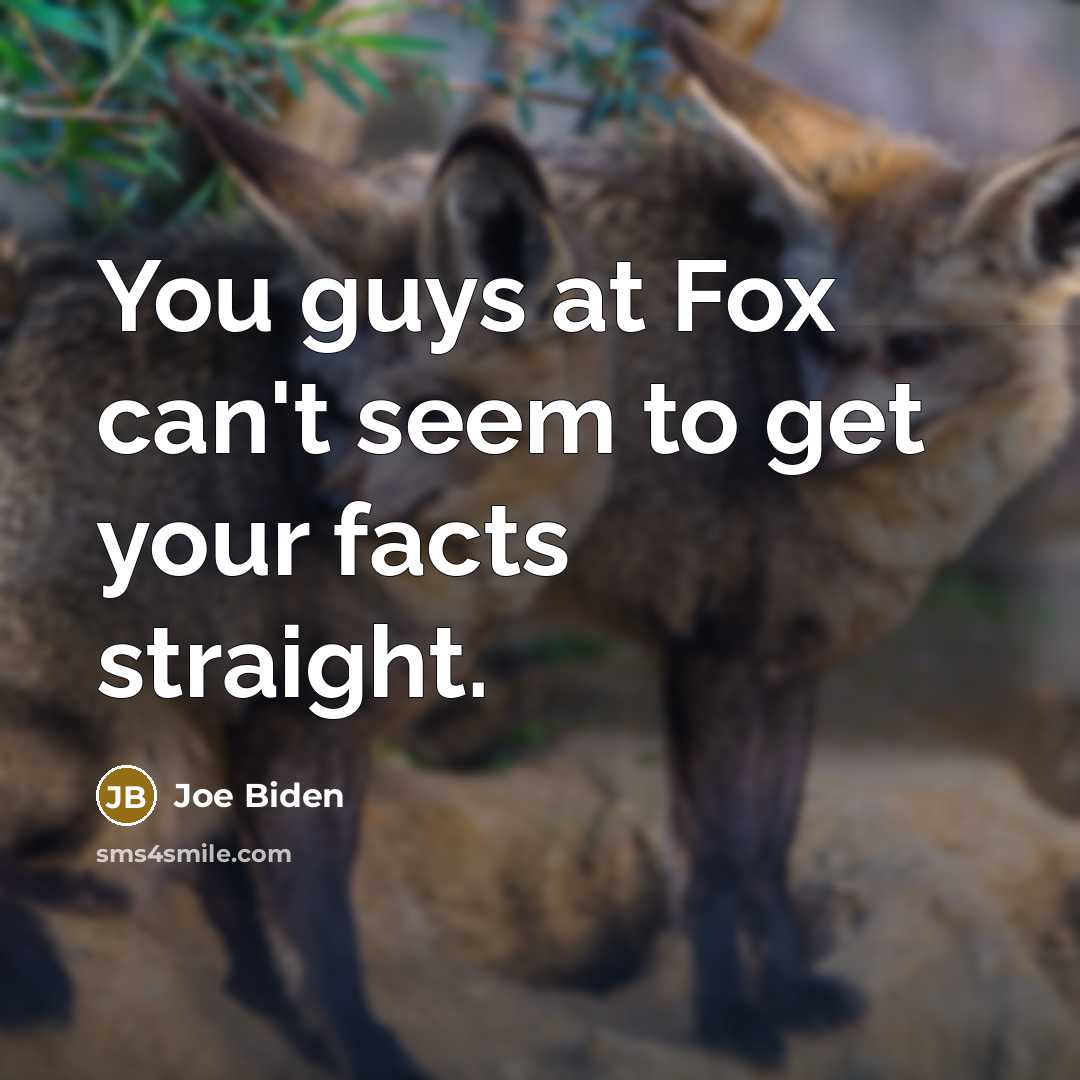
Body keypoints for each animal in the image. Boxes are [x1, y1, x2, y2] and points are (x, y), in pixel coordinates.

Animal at [0, 97, 610, 1079]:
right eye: (334, 403)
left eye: (429, 412)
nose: (321, 501)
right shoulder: (295, 715)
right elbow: (322, 927)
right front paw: (358, 1041)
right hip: (143, 747)